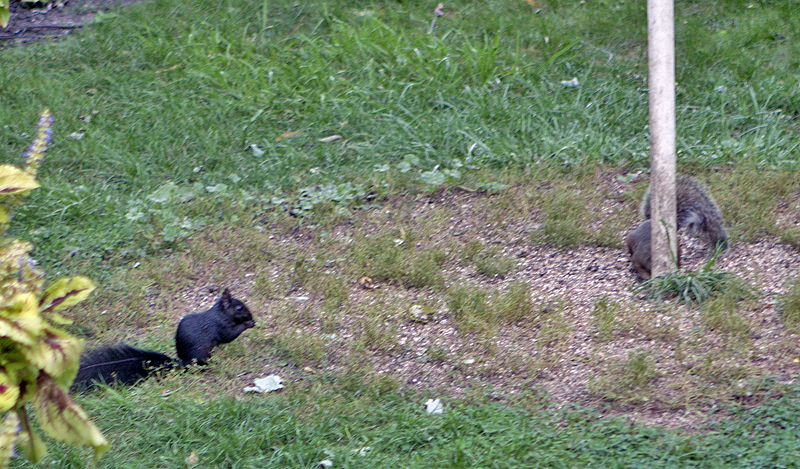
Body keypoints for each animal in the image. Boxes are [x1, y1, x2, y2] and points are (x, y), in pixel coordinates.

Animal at [72, 286, 253, 392]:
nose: (251, 316)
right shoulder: (221, 326)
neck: (220, 313)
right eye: (239, 308)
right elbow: (229, 335)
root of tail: (182, 362)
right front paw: (248, 324)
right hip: (201, 355)